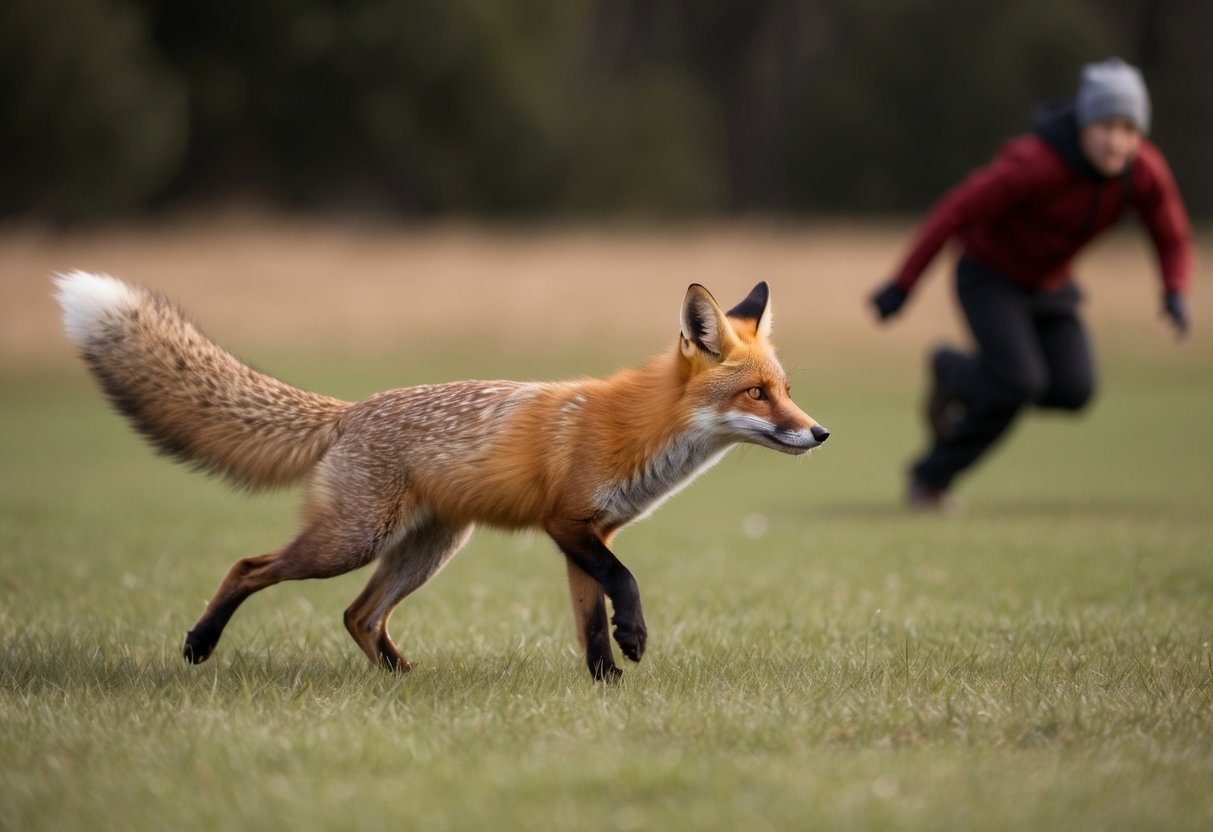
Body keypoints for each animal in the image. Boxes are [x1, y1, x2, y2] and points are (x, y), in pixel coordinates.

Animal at [54, 271, 829, 680]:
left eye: (786, 389)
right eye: (756, 394)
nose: (820, 433)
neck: (638, 432)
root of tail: (350, 410)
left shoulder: (588, 536)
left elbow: (590, 624)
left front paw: (608, 684)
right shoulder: (569, 525)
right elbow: (625, 587)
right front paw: (633, 644)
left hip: (427, 550)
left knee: (357, 614)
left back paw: (402, 680)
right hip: (351, 543)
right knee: (250, 567)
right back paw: (199, 643)